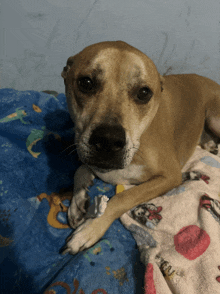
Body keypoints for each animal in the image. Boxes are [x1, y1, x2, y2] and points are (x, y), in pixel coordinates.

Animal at [61, 40, 220, 254]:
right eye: (86, 83)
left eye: (144, 93)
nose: (108, 140)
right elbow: (80, 169)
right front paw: (78, 202)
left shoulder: (169, 176)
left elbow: (122, 198)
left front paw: (90, 229)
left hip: (214, 117)